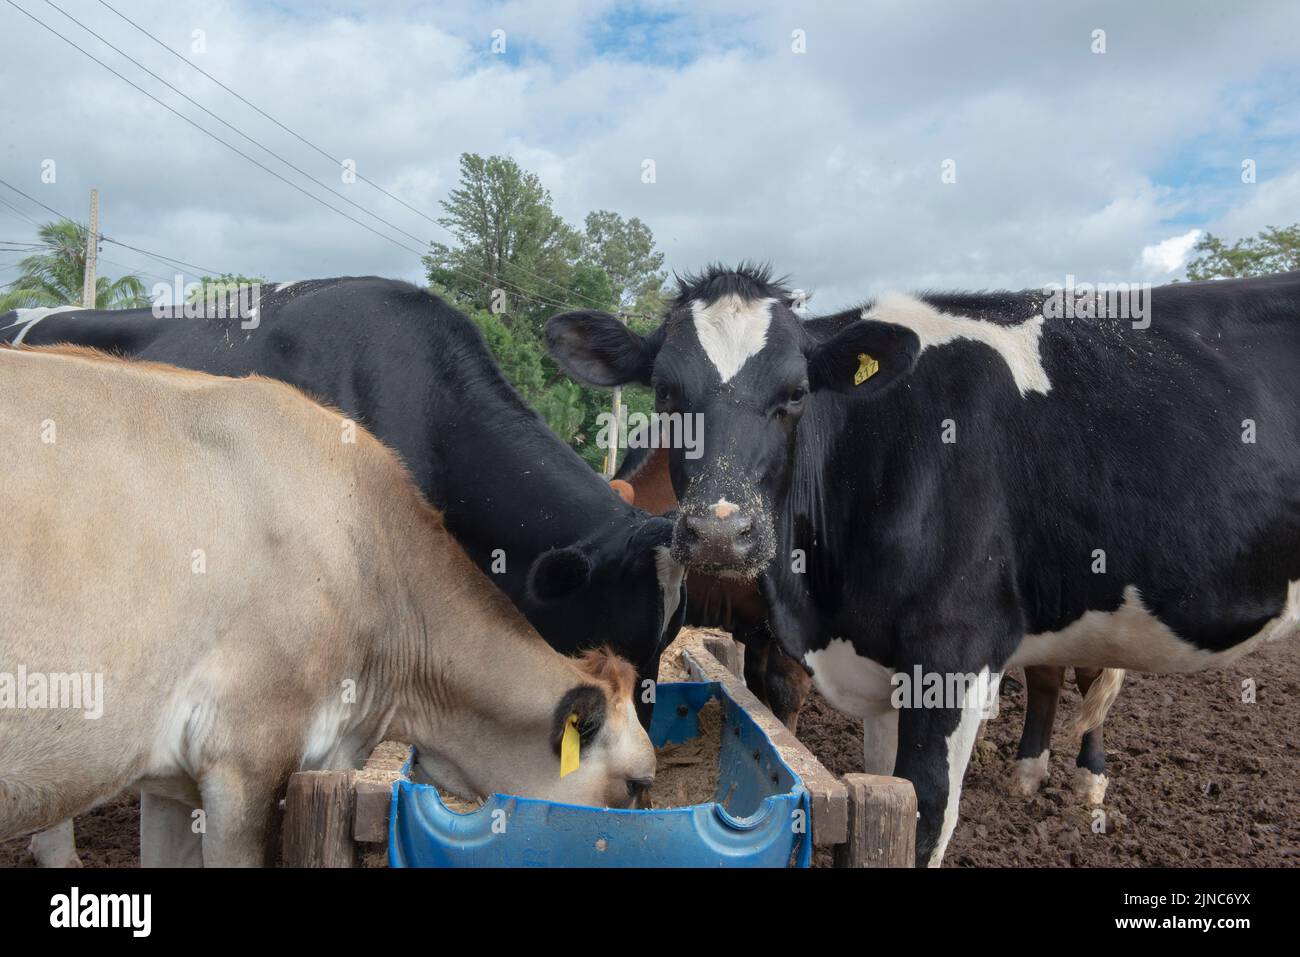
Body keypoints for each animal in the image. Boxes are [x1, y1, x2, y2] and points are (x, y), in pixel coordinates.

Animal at [546, 264, 1300, 865]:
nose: (720, 534)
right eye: (666, 393)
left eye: (796, 393)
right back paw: (1031, 773)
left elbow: (925, 815)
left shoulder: (952, 654)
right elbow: (887, 793)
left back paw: (1087, 780)